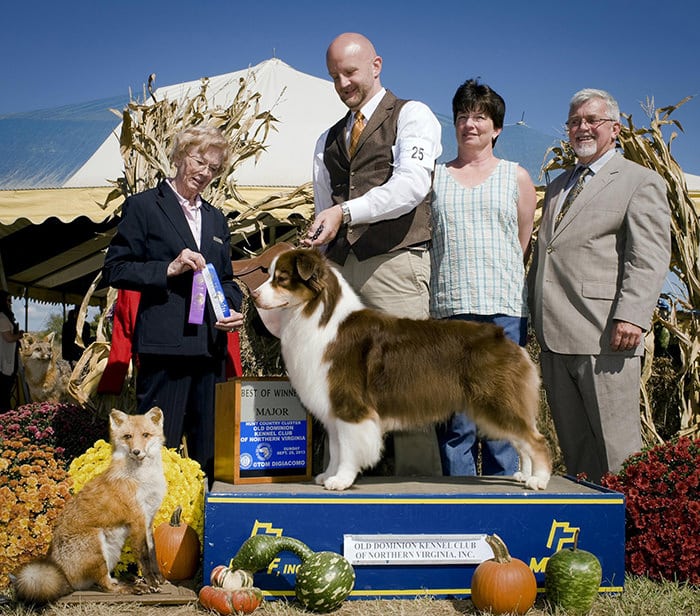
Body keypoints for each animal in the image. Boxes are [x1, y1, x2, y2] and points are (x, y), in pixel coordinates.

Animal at [12, 407, 167, 604]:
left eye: (146, 435)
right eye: (128, 436)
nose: (136, 451)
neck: (143, 479)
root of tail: (64, 574)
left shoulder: (148, 519)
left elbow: (153, 553)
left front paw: (158, 578)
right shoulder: (137, 519)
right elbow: (144, 556)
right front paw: (151, 582)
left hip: (112, 552)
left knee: (106, 581)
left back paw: (130, 580)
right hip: (96, 543)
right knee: (106, 585)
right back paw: (133, 587)